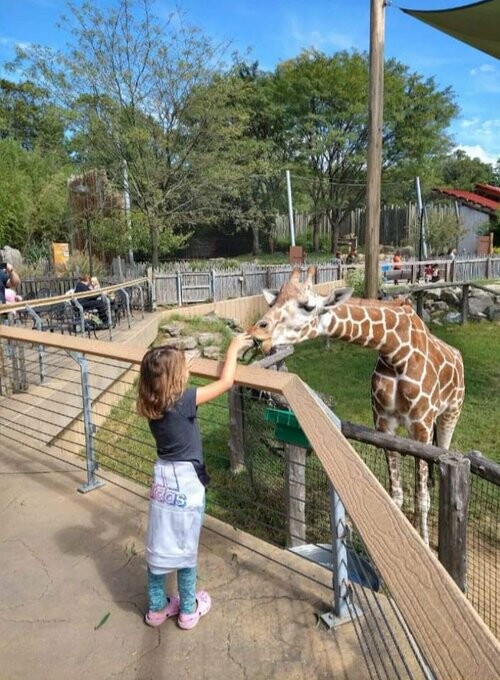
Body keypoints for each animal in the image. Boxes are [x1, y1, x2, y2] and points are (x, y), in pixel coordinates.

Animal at [248, 266, 465, 545]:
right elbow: (396, 494)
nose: (258, 333)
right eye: (273, 302)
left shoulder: (422, 426)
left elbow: (422, 498)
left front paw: (424, 544)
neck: (395, 352)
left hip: (449, 414)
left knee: (435, 468)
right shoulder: (384, 424)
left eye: (308, 306)